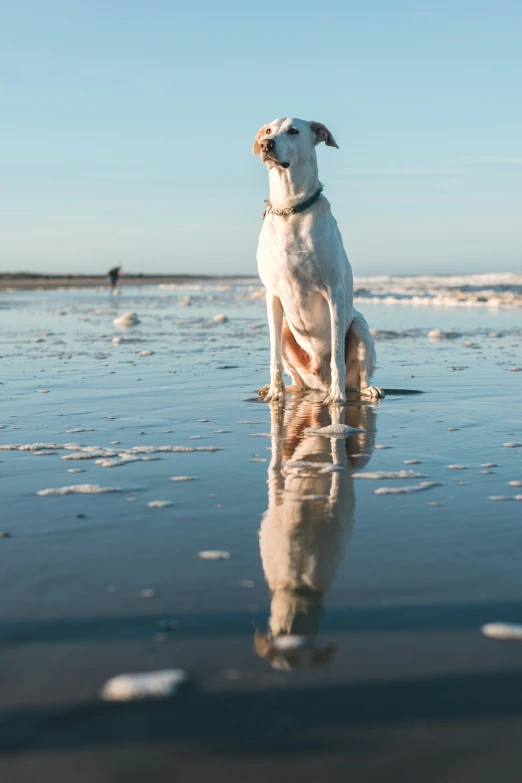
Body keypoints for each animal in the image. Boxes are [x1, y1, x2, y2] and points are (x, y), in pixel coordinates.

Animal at [253, 119, 382, 408]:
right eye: (268, 131)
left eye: (293, 131)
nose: (266, 145)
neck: (290, 209)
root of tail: (317, 382)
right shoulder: (272, 295)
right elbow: (273, 357)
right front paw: (275, 393)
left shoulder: (334, 291)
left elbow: (336, 355)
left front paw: (338, 397)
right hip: (287, 331)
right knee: (297, 380)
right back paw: (280, 390)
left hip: (360, 327)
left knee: (358, 376)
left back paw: (361, 389)